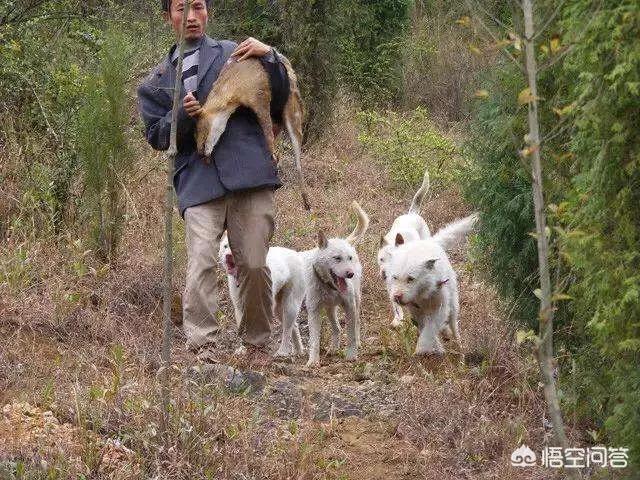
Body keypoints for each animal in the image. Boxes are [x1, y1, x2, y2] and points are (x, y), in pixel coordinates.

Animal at [198, 54, 312, 210]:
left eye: (201, 137)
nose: (200, 155)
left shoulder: (260, 99)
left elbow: (268, 138)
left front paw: (272, 157)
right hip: (281, 121)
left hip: (292, 118)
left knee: (298, 161)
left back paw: (306, 201)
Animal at [302, 201, 370, 366]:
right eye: (337, 258)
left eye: (349, 258)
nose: (350, 274)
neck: (329, 287)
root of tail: (345, 241)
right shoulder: (313, 311)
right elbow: (314, 340)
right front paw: (313, 361)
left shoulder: (350, 306)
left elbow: (351, 335)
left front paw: (351, 355)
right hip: (329, 309)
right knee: (337, 328)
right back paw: (333, 348)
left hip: (356, 301)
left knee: (356, 324)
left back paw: (357, 343)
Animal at [378, 167, 432, 328]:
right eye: (381, 259)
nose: (383, 274)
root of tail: (412, 213)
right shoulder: (391, 285)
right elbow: (396, 304)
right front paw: (398, 319)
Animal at [384, 214, 476, 356]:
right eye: (394, 277)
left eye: (410, 279)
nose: (396, 297)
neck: (422, 294)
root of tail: (431, 242)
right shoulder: (417, 313)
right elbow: (426, 329)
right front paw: (437, 347)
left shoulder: (440, 309)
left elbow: (430, 330)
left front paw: (422, 348)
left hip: (453, 306)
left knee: (453, 325)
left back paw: (458, 344)